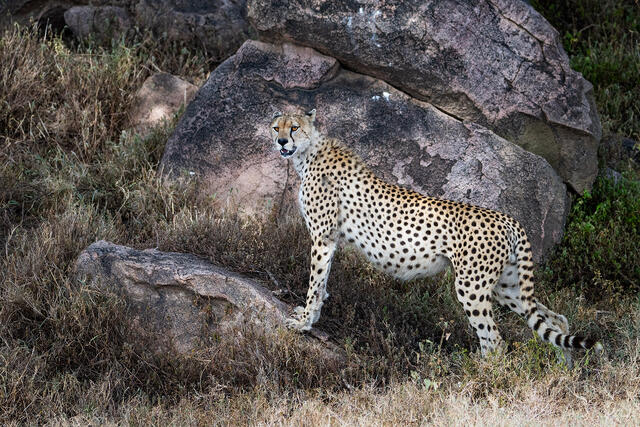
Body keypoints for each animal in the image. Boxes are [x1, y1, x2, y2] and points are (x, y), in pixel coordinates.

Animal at [269, 109, 602, 360]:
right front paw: (310, 316)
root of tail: (507, 217)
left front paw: (304, 323)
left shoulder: (323, 237)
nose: (281, 140)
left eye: (294, 127)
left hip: (472, 286)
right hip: (505, 285)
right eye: (276, 127)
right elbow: (322, 284)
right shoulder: (330, 240)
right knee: (555, 320)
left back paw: (476, 378)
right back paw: (563, 368)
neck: (308, 153)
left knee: (494, 341)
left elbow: (315, 283)